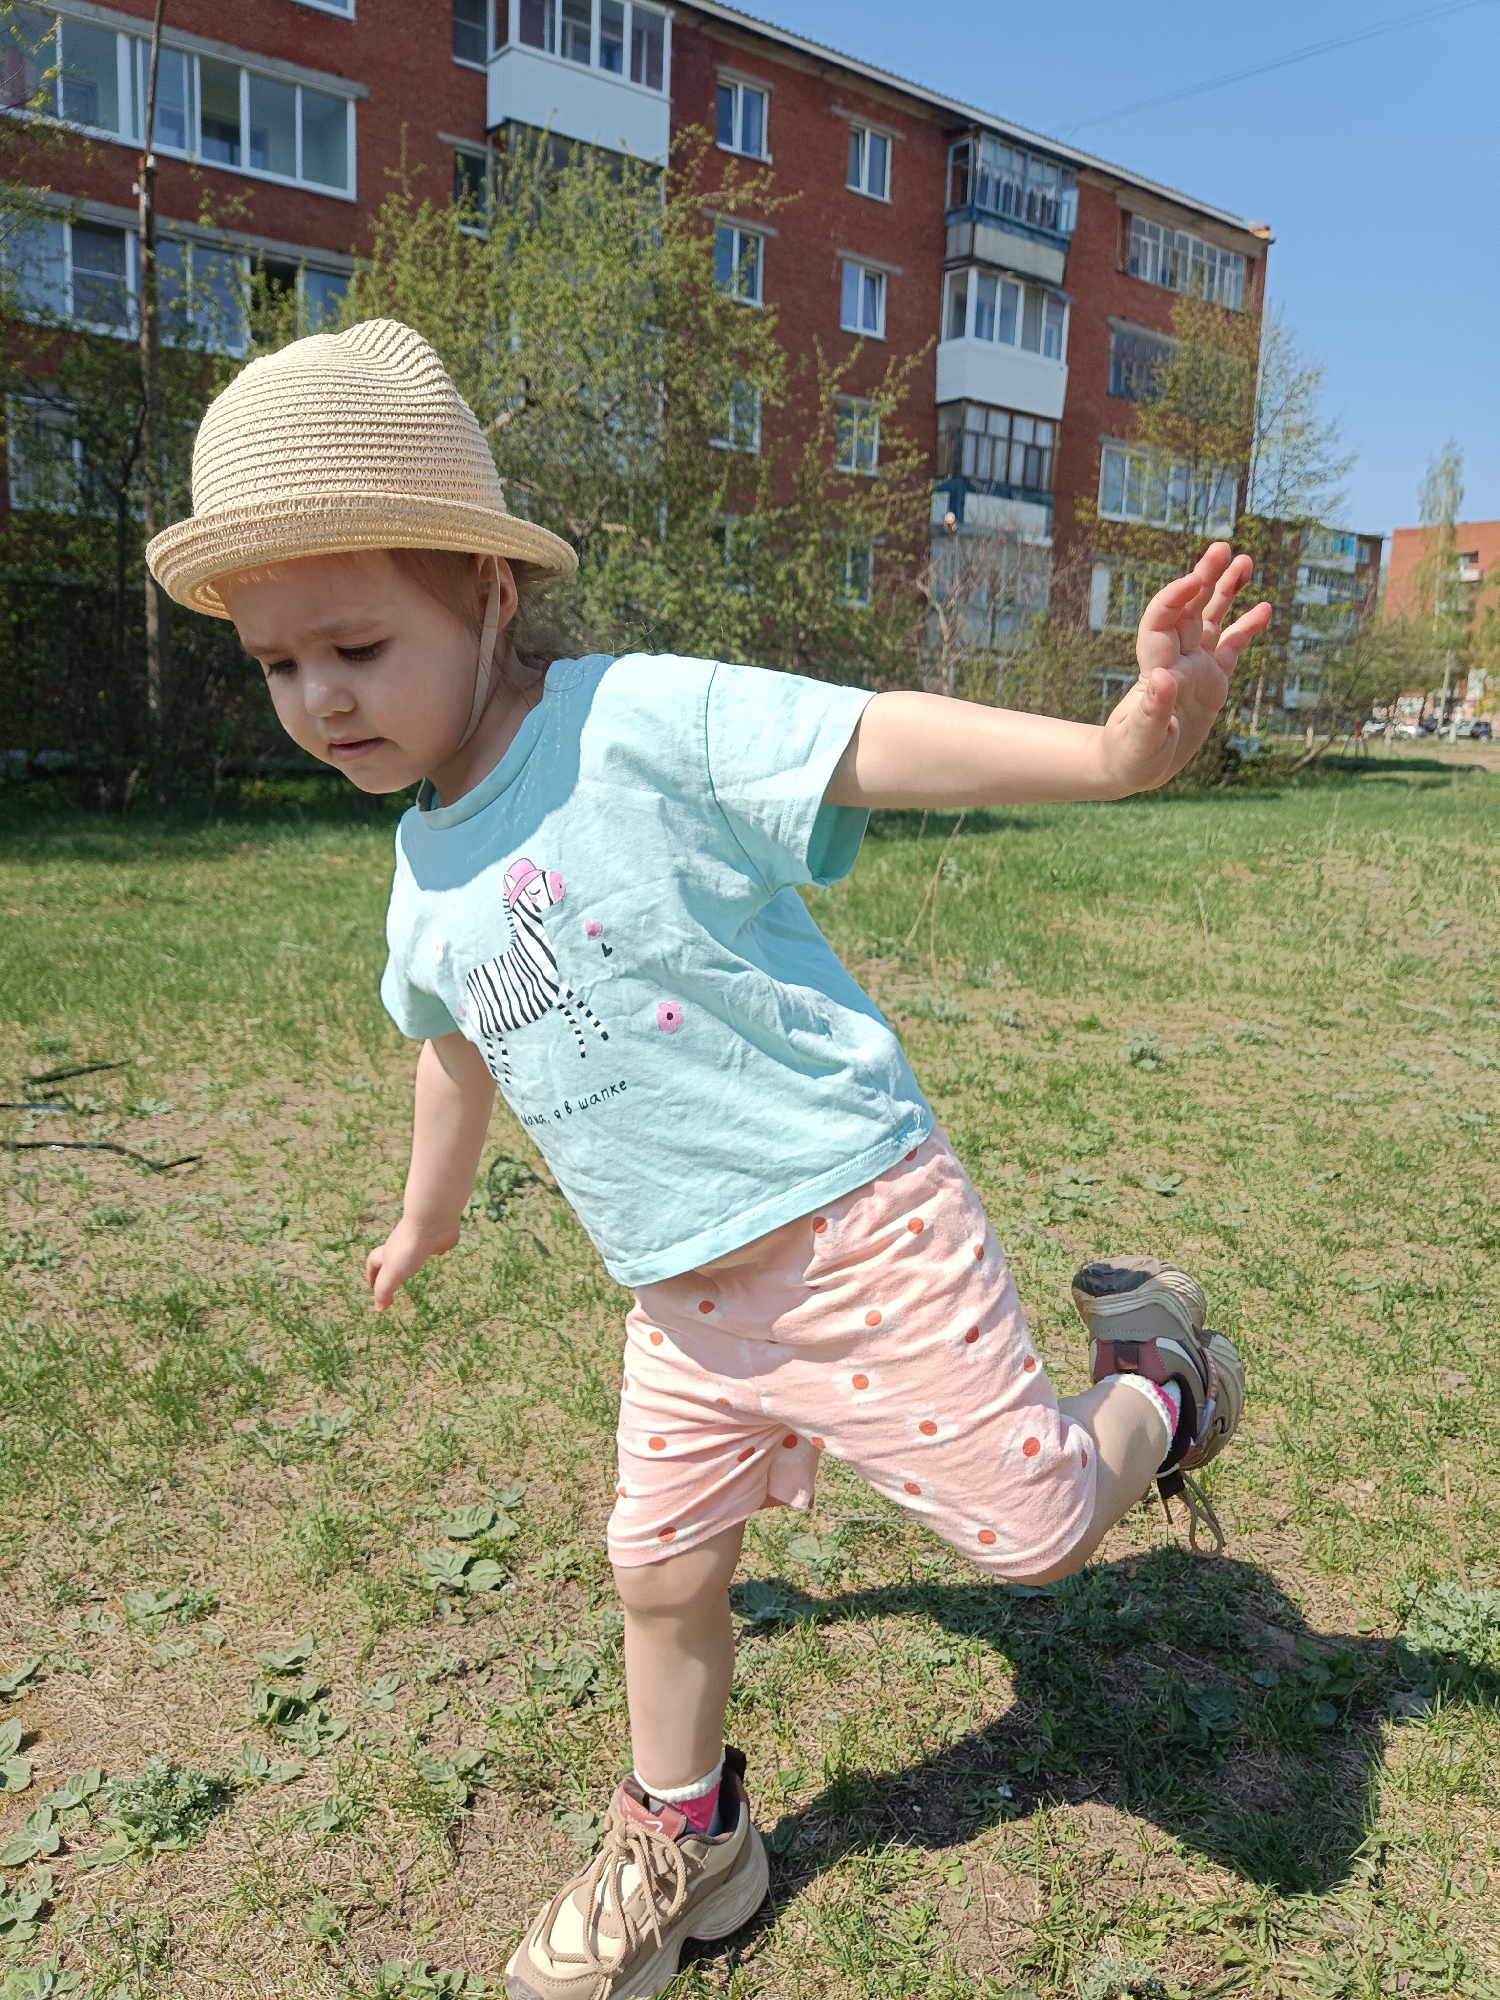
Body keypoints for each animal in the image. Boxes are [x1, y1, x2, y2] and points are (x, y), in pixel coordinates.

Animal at [463, 858, 608, 1085]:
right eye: (534, 890)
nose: (560, 881)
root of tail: (468, 980)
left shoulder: (557, 987)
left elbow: (579, 1007)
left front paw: (597, 1036)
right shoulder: (551, 994)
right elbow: (574, 1015)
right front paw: (587, 1043)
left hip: (496, 1027)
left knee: (501, 1047)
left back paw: (507, 1073)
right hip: (485, 1028)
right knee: (490, 1052)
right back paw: (502, 1076)